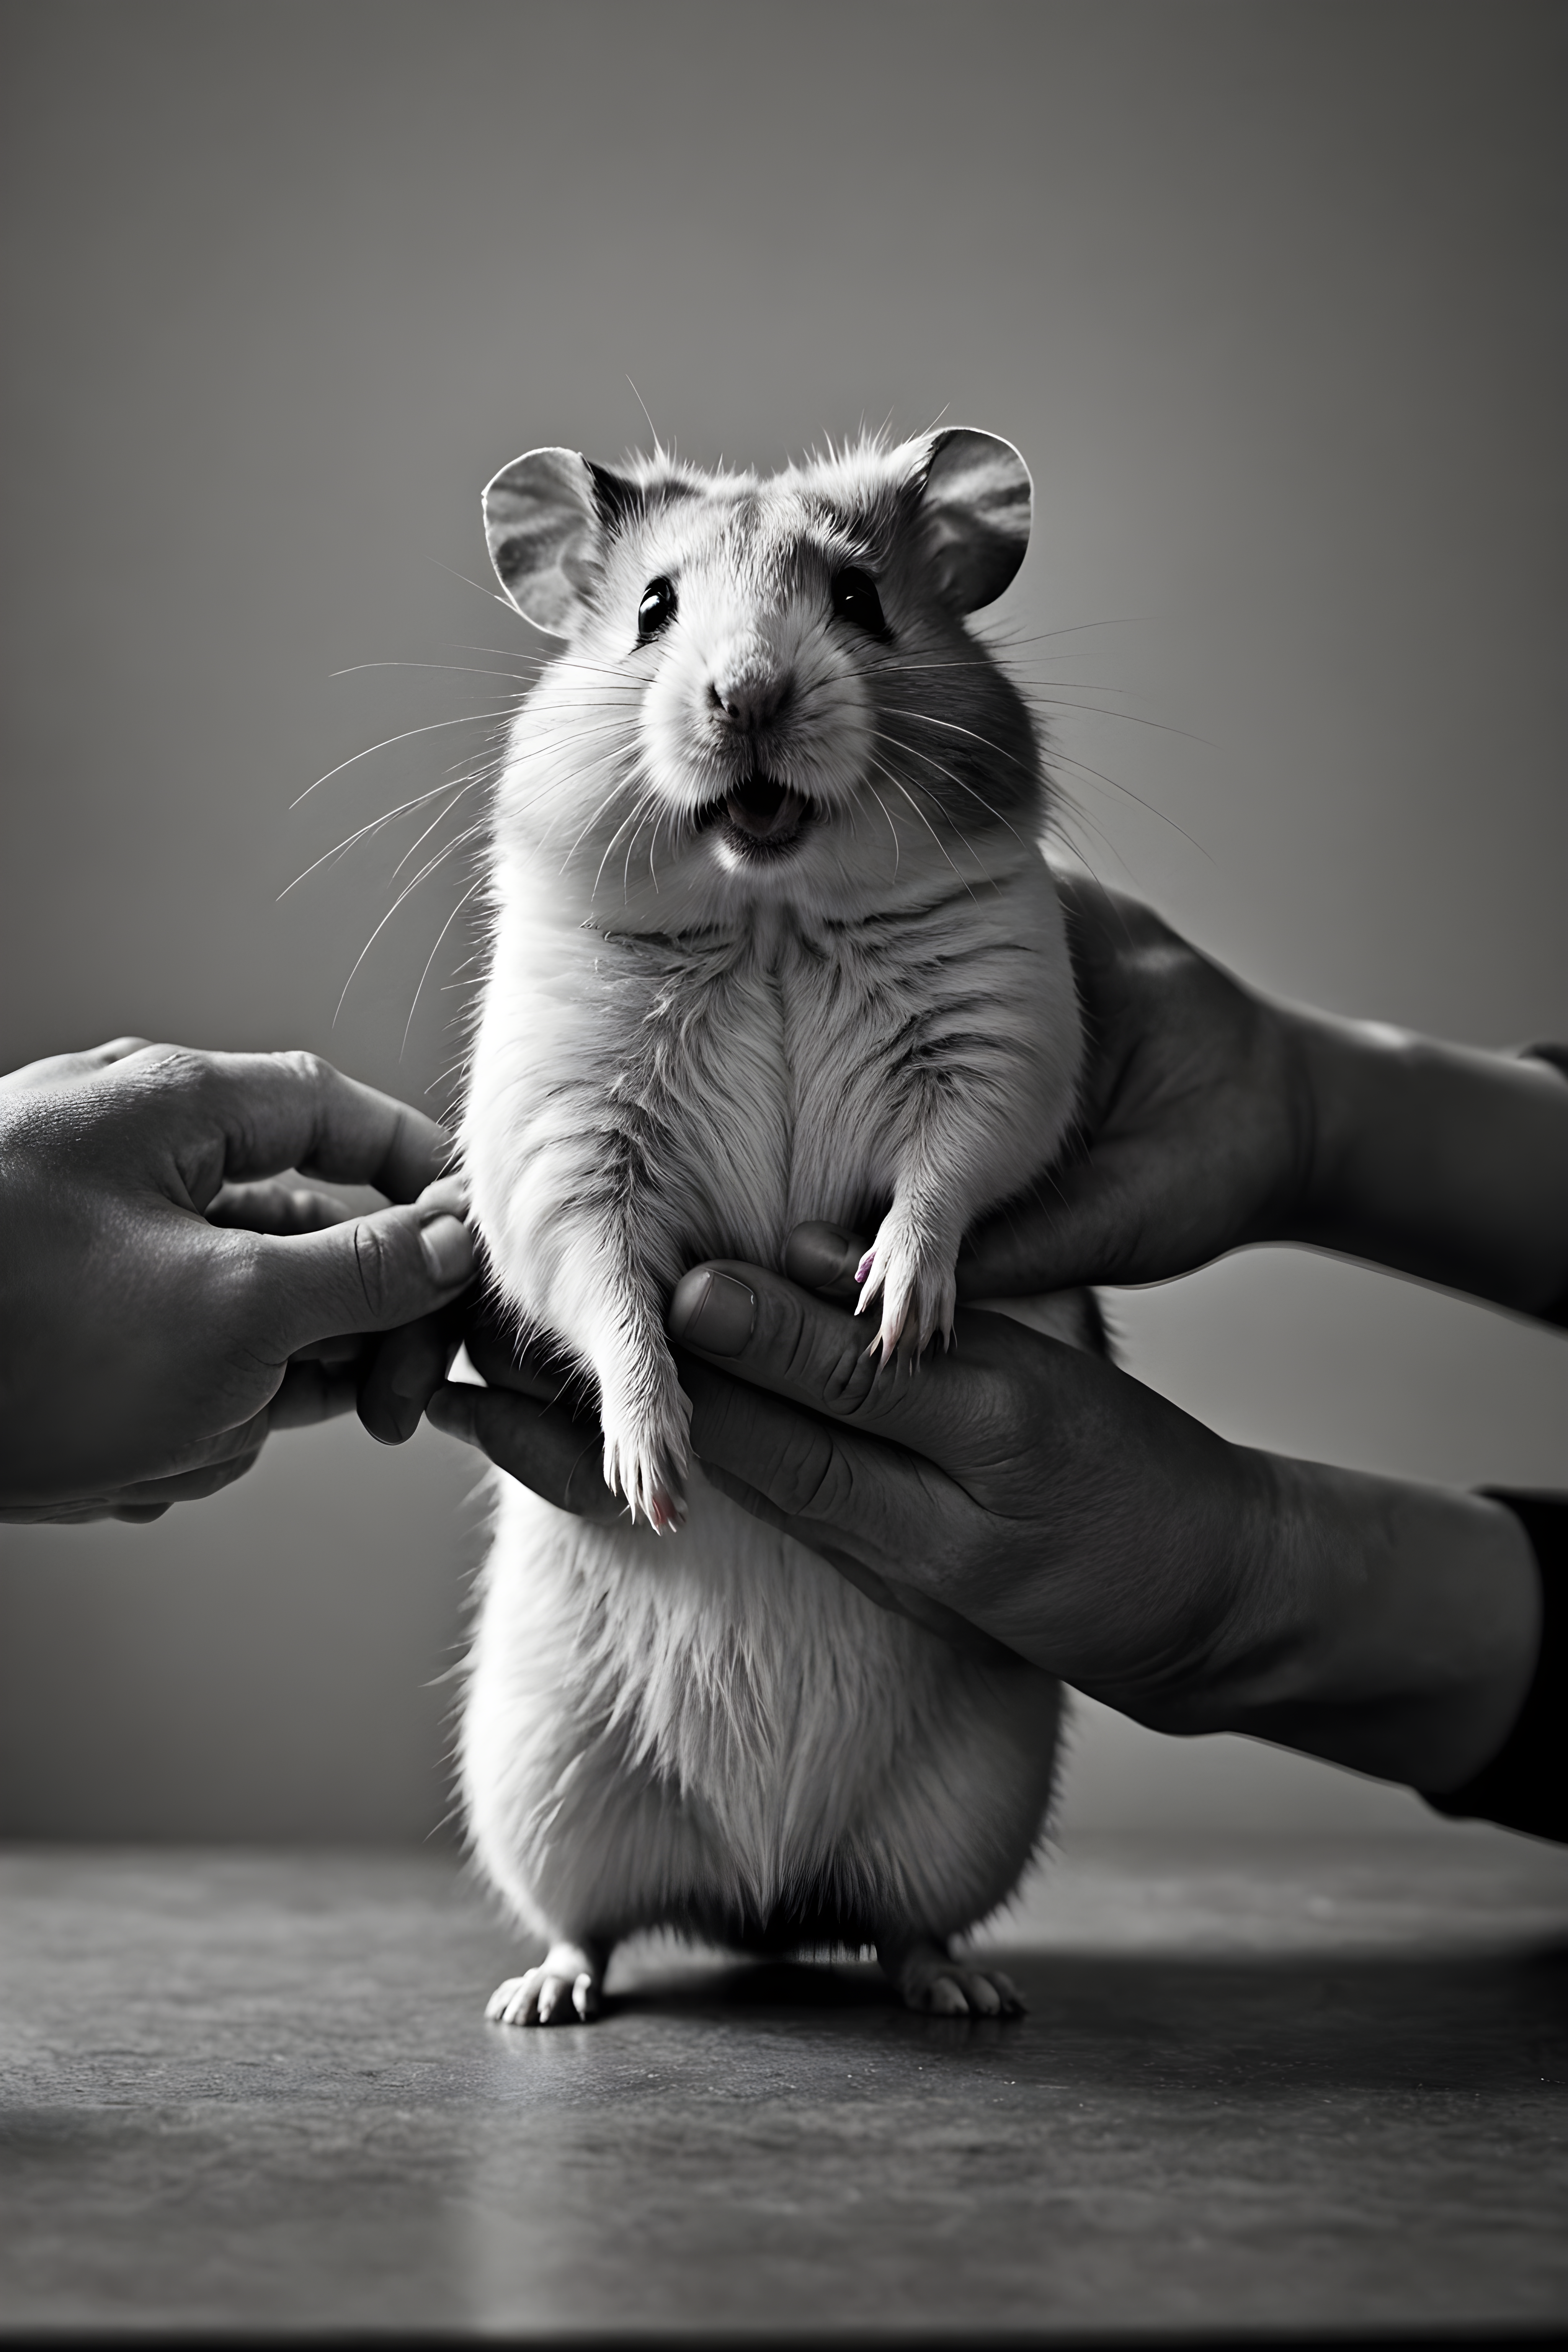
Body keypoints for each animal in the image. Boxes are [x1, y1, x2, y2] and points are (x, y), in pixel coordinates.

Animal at [459, 427, 1098, 2022]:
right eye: (651, 612)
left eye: (862, 601)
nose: (745, 695)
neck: (771, 912)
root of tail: (759, 1896)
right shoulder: (563, 1138)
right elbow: (609, 1291)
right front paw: (656, 1474)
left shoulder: (1002, 1047)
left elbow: (946, 1174)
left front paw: (888, 1319)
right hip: (546, 1790)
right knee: (591, 1922)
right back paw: (541, 2000)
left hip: (963, 1811)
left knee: (904, 1923)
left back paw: (963, 1994)